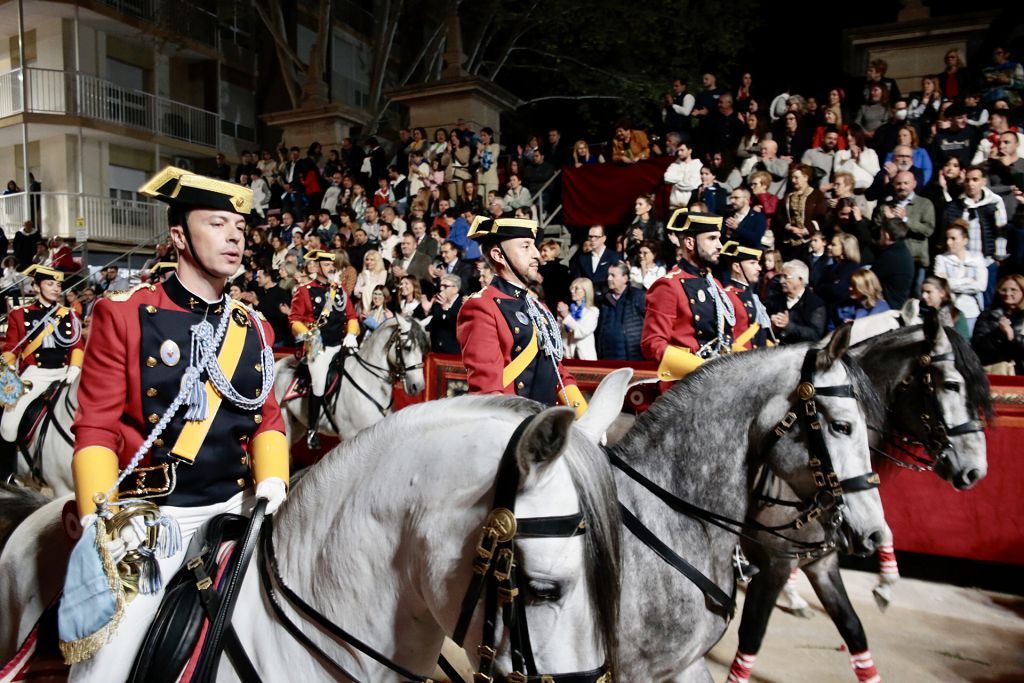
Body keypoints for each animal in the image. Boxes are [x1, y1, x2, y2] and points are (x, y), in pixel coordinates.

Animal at [274, 315, 430, 444]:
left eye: (423, 348)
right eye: (407, 347)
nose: (418, 386)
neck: (368, 381)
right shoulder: (350, 435)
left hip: (297, 426)